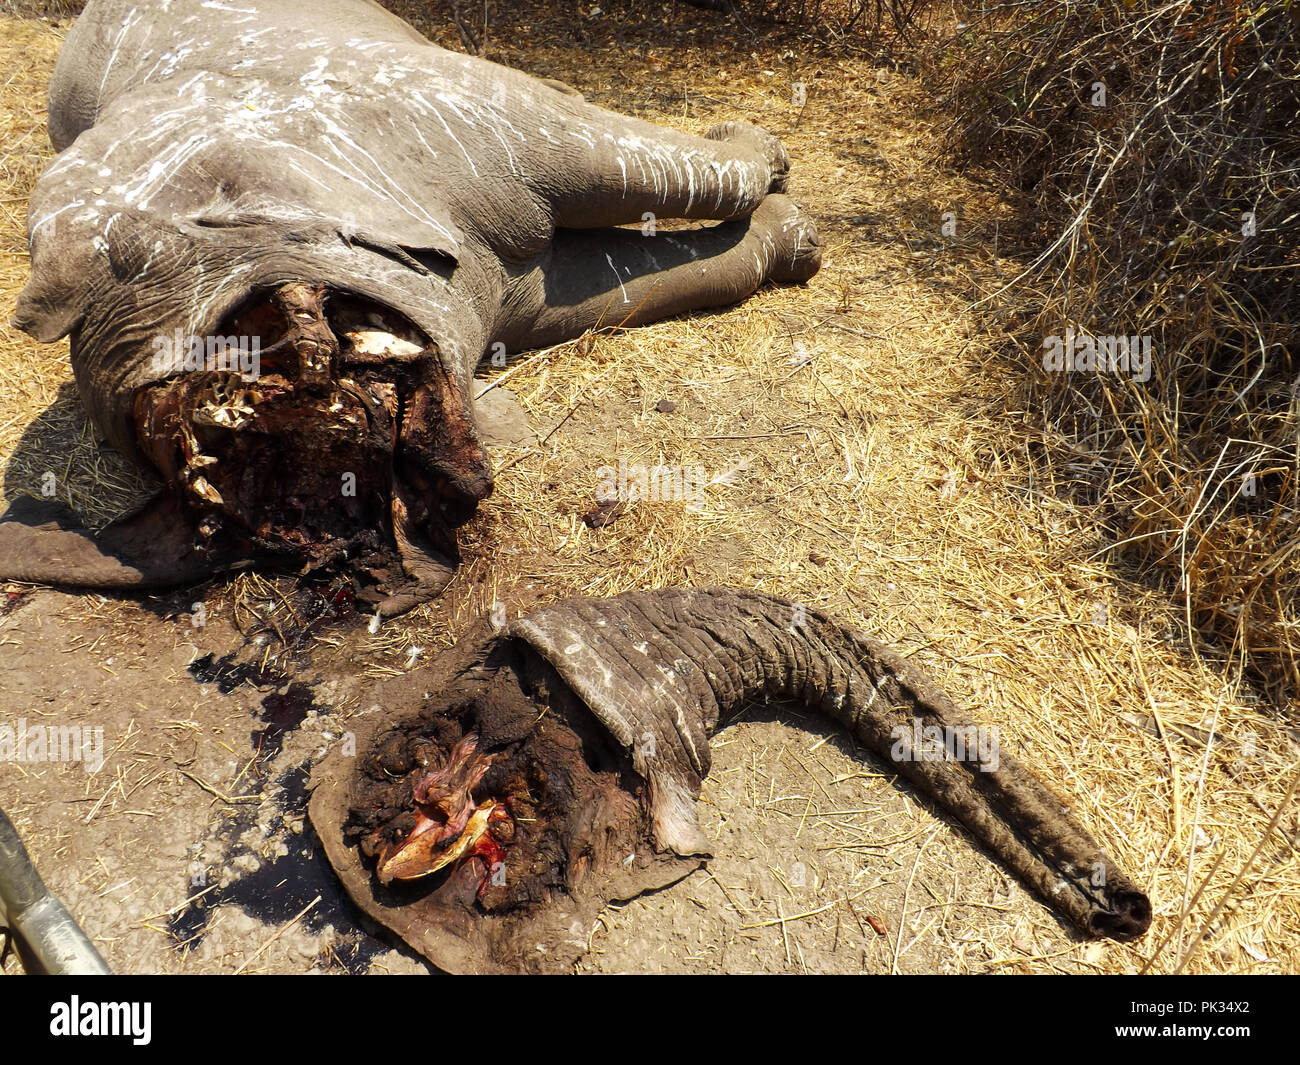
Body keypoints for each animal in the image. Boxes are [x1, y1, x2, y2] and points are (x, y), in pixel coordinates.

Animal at [0, 0, 820, 612]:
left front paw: (773, 172)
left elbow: (651, 173)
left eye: (258, 334)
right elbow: (620, 282)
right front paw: (791, 232)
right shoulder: (507, 289)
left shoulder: (453, 121)